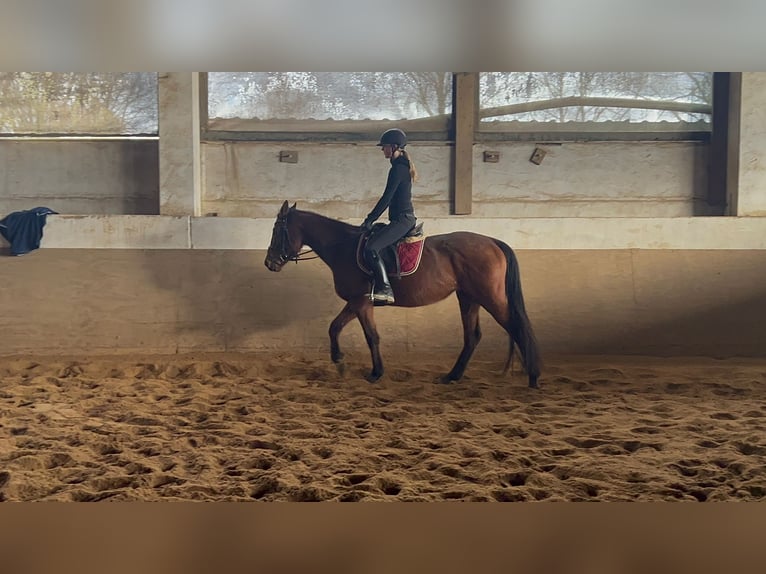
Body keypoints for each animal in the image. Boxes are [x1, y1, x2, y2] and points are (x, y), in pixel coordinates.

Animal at [264, 201, 542, 388]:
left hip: (489, 297)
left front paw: (375, 373)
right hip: (468, 298)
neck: (343, 247)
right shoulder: (357, 301)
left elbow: (371, 336)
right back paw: (452, 376)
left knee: (516, 327)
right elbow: (335, 327)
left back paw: (533, 376)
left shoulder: (360, 302)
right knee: (472, 336)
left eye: (277, 230)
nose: (270, 263)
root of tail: (493, 242)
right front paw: (339, 361)